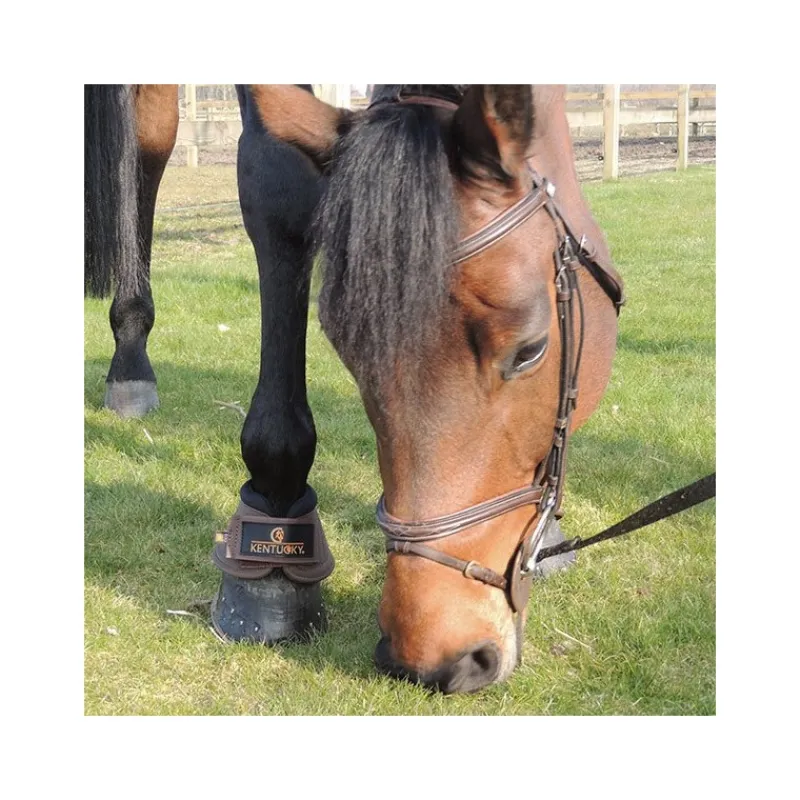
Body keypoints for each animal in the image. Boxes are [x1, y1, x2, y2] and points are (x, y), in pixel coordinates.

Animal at [84, 84, 623, 694]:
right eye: (348, 354)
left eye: (530, 350)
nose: (438, 657)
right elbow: (277, 184)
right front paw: (274, 525)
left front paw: (548, 531)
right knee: (148, 140)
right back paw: (130, 359)